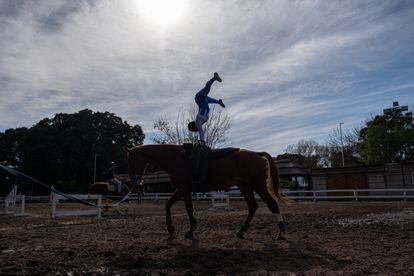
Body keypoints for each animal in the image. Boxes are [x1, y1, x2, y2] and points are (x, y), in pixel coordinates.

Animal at [126, 144, 288, 239]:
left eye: (131, 160)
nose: (135, 181)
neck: (178, 159)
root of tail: (256, 153)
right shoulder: (182, 190)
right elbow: (169, 206)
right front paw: (172, 229)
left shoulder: (184, 190)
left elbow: (188, 209)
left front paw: (190, 230)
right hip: (246, 187)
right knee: (253, 207)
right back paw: (241, 231)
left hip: (258, 186)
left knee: (272, 204)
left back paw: (280, 232)